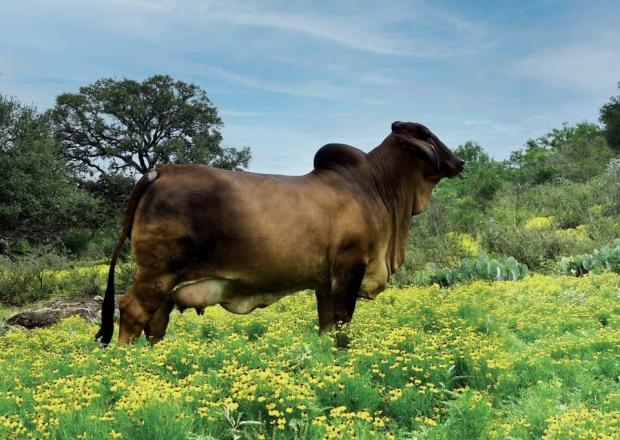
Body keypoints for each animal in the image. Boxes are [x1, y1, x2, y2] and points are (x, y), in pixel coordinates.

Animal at [95, 122, 460, 346]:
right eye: (427, 134)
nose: (461, 161)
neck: (376, 187)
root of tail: (161, 171)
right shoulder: (350, 270)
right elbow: (343, 325)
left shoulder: (325, 283)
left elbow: (327, 326)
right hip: (156, 272)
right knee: (132, 311)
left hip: (166, 283)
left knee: (155, 323)